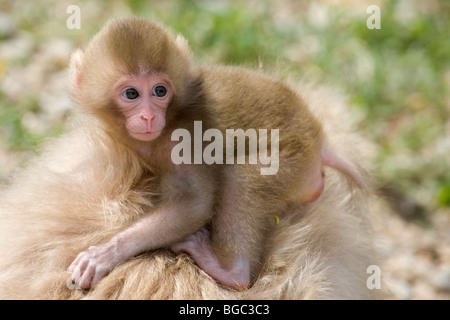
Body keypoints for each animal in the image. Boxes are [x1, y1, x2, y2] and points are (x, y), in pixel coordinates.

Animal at [67, 18, 362, 292]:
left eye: (160, 91)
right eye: (131, 93)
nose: (148, 117)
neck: (172, 115)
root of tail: (319, 144)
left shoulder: (184, 139)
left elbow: (194, 203)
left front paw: (106, 253)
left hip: (295, 162)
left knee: (240, 178)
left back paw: (231, 271)